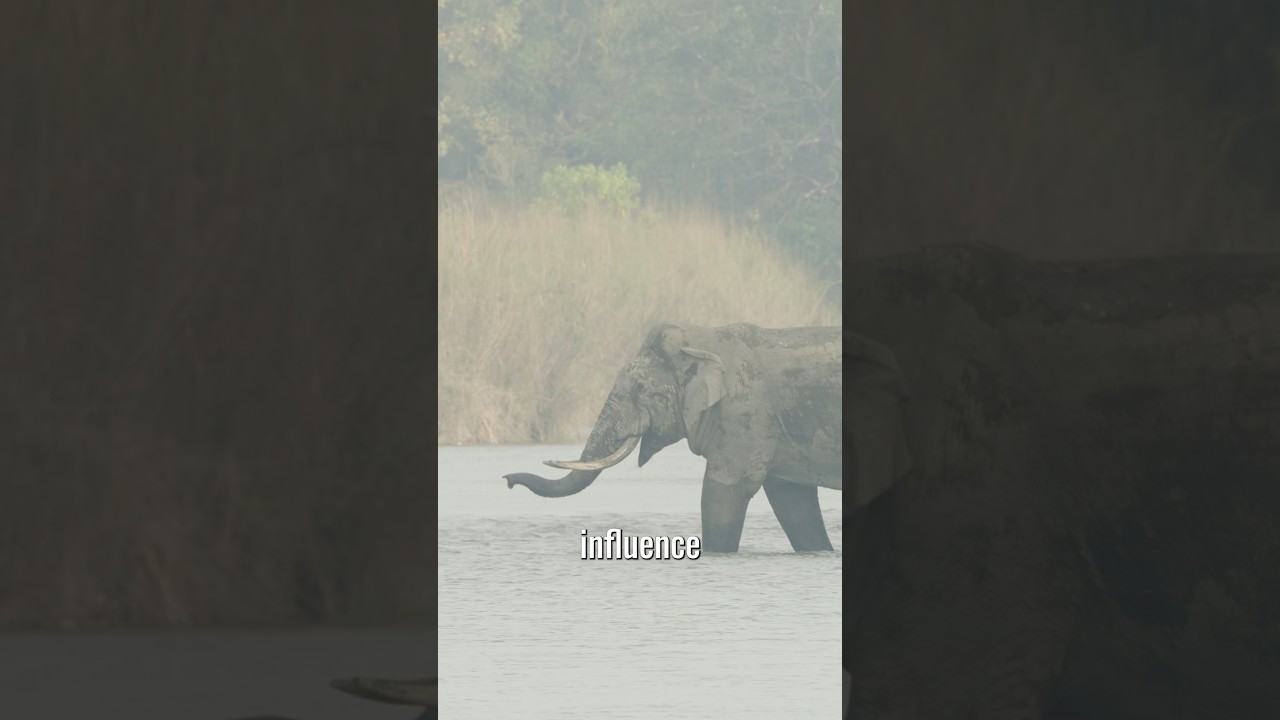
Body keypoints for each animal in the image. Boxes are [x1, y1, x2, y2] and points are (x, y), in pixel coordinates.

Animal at [504, 322, 842, 553]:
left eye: (640, 387)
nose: (507, 480)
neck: (703, 339)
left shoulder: (744, 414)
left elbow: (722, 492)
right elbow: (792, 501)